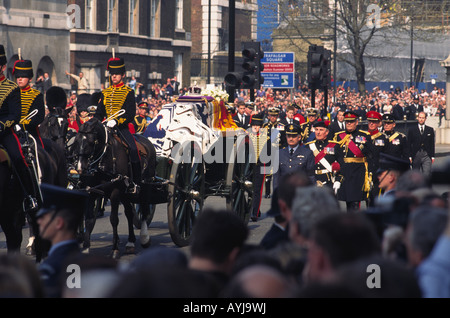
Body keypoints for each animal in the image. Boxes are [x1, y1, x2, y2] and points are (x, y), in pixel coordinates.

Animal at [68, 117, 156, 258]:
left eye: (92, 142)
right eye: (76, 141)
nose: (80, 168)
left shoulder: (115, 193)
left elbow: (114, 219)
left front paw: (114, 249)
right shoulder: (91, 192)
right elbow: (89, 219)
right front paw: (86, 247)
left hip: (144, 187)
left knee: (144, 211)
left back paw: (144, 238)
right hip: (126, 194)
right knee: (129, 213)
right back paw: (130, 243)